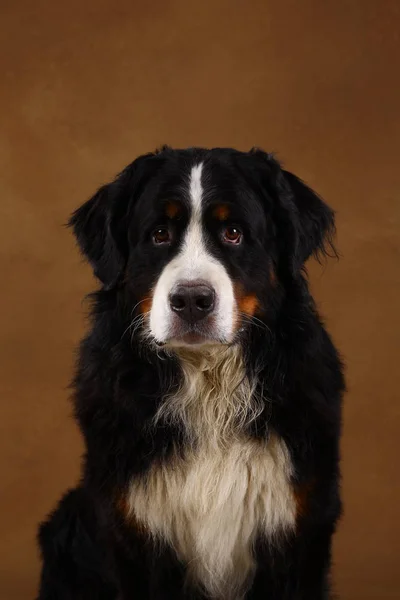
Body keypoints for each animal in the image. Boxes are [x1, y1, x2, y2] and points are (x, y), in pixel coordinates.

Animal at [36, 146, 344, 600]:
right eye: (159, 234)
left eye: (233, 232)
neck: (207, 385)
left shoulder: (298, 530)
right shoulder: (134, 529)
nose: (192, 300)